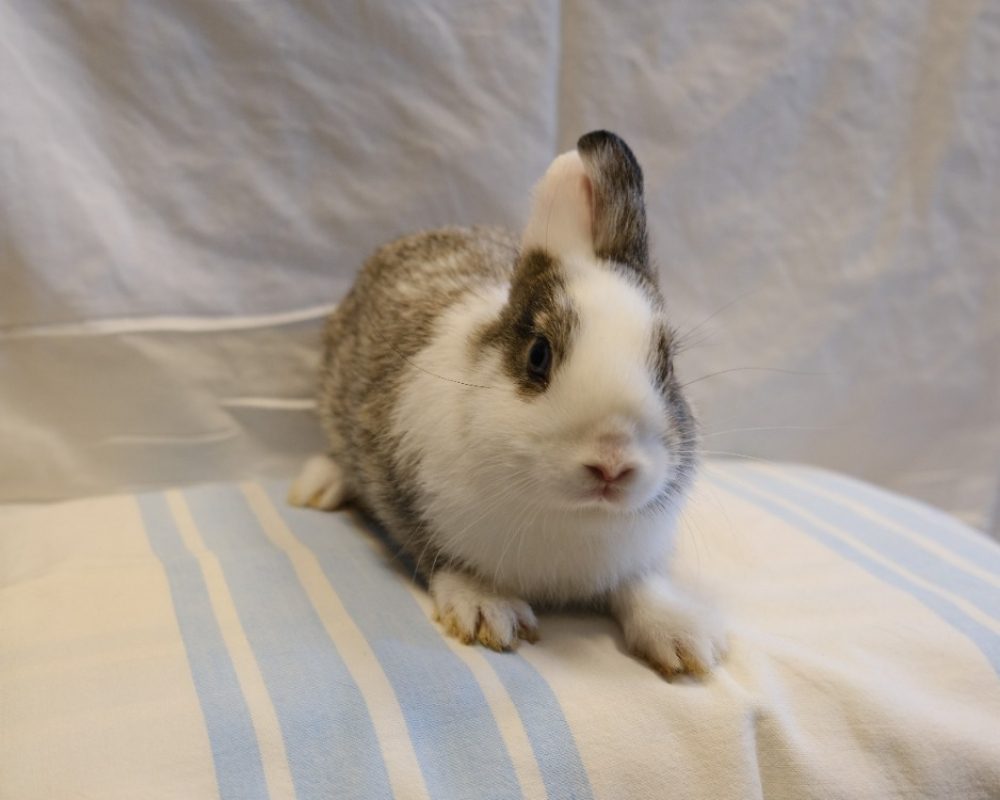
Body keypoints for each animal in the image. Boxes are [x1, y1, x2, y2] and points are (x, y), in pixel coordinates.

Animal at [290, 130, 727, 677]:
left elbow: (640, 584)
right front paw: (487, 611)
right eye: (538, 356)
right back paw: (316, 487)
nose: (612, 465)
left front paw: (685, 640)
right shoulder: (404, 492)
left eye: (667, 365)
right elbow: (439, 556)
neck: (570, 513)